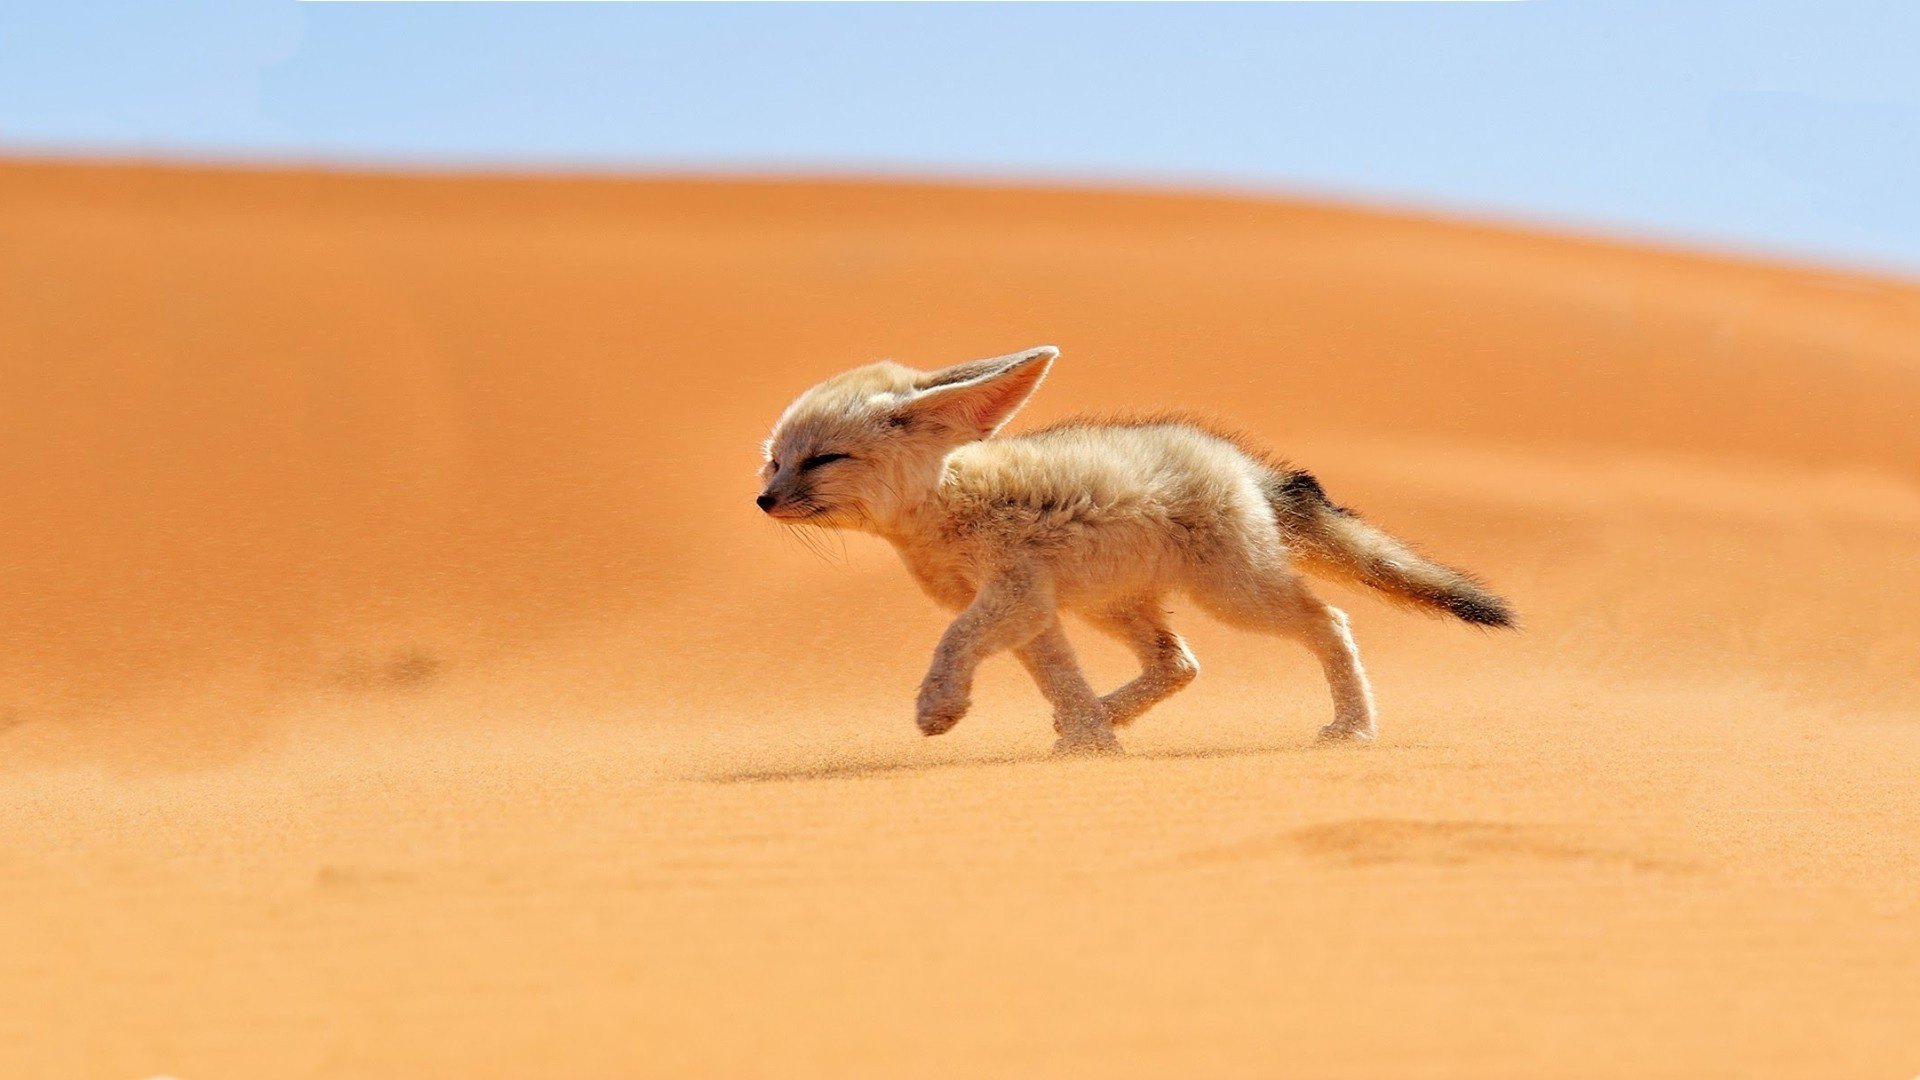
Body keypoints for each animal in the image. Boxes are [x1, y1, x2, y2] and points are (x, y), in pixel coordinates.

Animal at [757, 345, 1512, 754]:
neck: (946, 504)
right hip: (1112, 605)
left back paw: (1354, 727)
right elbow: (1059, 678)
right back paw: (1102, 716)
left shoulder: (1013, 596)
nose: (763, 501)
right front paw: (1091, 742)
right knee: (1179, 663)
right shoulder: (1033, 611)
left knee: (1330, 621)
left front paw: (939, 707)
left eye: (822, 460)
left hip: (1235, 596)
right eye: (774, 462)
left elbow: (953, 641)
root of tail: (1242, 463)